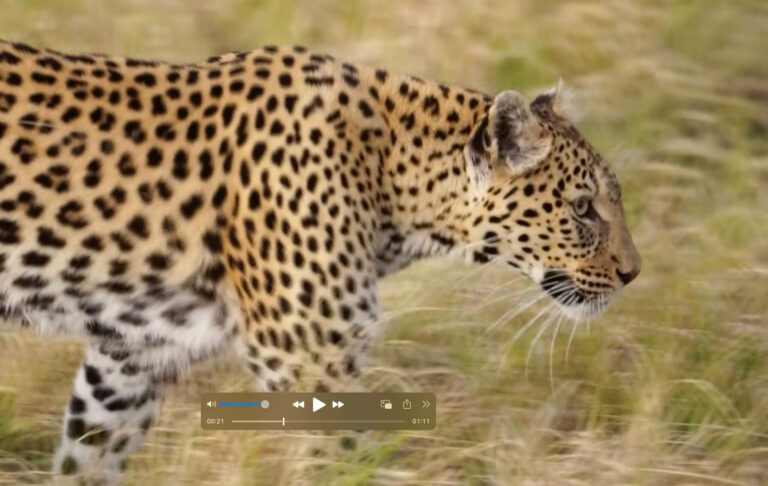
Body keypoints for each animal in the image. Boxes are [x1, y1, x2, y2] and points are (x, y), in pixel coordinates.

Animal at [0, 39, 640, 480]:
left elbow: (85, 460)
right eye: (583, 208)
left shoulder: (133, 358)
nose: (633, 274)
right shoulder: (309, 359)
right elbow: (348, 466)